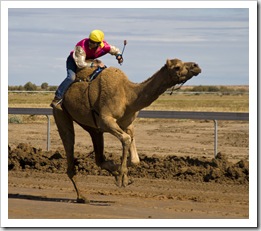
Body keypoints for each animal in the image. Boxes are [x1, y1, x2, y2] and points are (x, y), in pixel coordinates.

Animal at [51, 57, 200, 202]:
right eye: (177, 67)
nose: (196, 66)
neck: (128, 95)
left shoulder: (127, 124)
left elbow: (135, 159)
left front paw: (120, 172)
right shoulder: (106, 120)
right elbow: (126, 139)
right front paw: (122, 176)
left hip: (92, 127)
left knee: (99, 158)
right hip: (61, 113)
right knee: (69, 143)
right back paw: (81, 196)